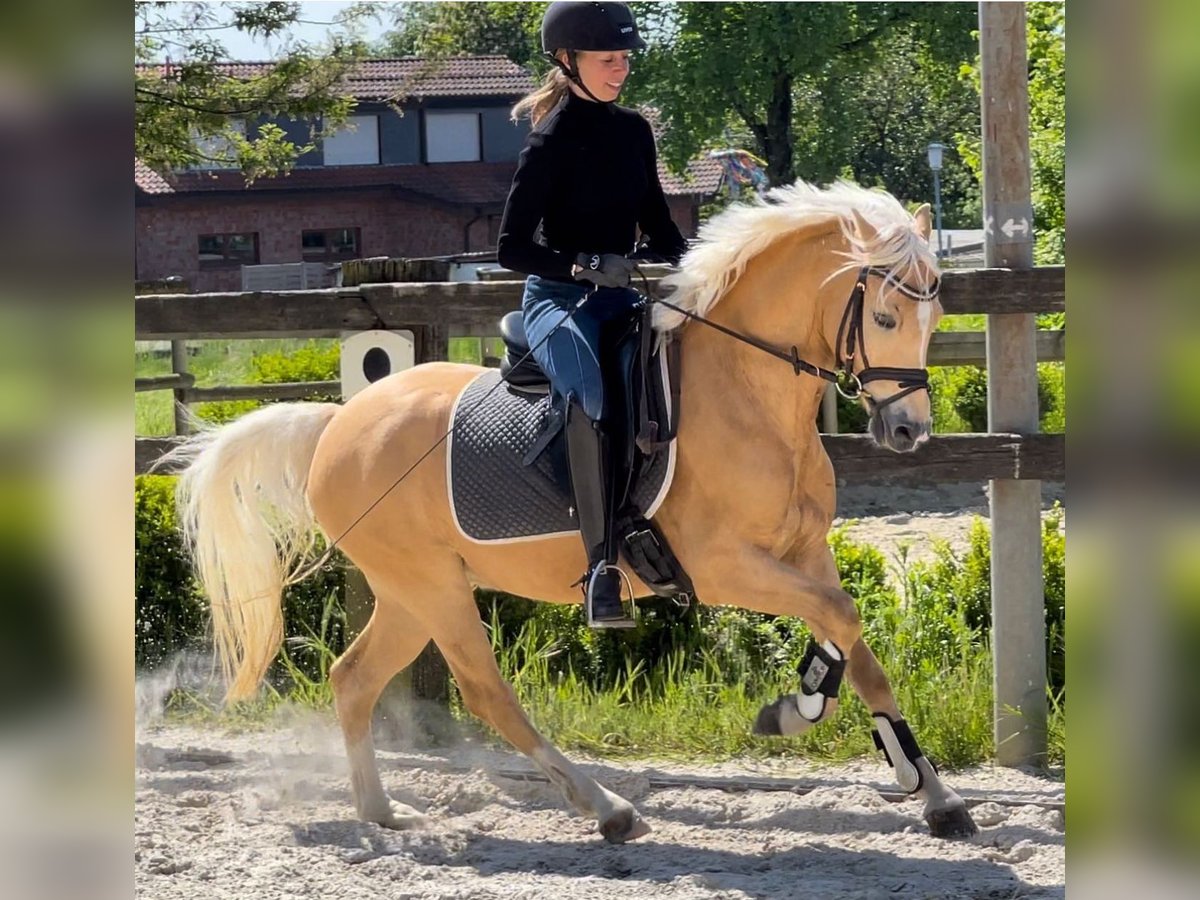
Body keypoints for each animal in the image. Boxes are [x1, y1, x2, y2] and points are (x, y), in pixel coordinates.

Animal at [175, 181, 984, 844]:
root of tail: (337, 424)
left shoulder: (804, 553)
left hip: (410, 594)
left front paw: (933, 793)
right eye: (886, 316)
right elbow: (840, 622)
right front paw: (798, 709)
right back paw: (607, 809)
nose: (908, 432)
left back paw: (382, 811)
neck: (748, 396)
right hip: (430, 587)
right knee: (485, 692)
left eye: (938, 312)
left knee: (352, 680)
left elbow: (854, 640)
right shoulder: (722, 567)